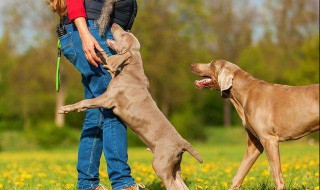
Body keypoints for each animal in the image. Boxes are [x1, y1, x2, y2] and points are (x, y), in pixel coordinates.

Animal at [59, 23, 202, 190]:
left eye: (122, 35)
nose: (114, 24)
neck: (132, 68)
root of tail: (182, 143)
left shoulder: (107, 99)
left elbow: (85, 102)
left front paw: (65, 108)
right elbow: (106, 60)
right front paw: (98, 52)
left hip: (161, 164)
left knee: (171, 184)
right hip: (174, 166)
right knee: (181, 184)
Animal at [191, 59, 318, 190]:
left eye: (212, 64)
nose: (192, 65)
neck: (245, 93)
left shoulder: (269, 140)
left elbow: (277, 176)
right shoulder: (254, 145)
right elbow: (237, 177)